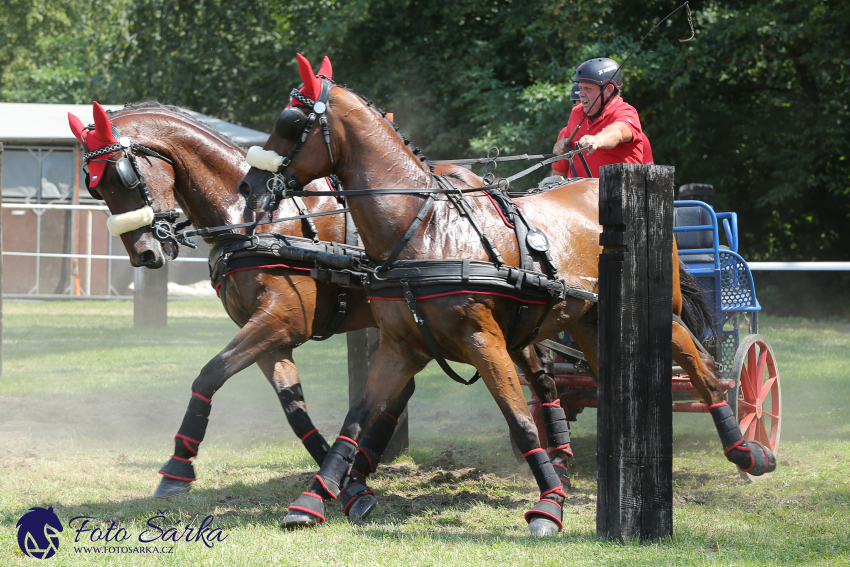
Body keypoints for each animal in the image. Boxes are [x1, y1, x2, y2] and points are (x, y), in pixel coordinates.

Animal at [65, 102, 410, 520]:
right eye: (94, 186)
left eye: (124, 177)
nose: (143, 255)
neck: (251, 221)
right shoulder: (270, 337)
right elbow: (294, 411)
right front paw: (348, 487)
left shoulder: (282, 321)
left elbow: (210, 374)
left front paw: (179, 464)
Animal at [238, 54, 776, 536]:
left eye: (291, 123)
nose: (249, 186)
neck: (426, 232)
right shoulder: (401, 347)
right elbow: (354, 421)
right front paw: (312, 501)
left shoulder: (484, 340)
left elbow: (520, 422)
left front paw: (549, 506)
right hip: (587, 321)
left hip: (662, 315)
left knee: (702, 369)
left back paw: (746, 449)